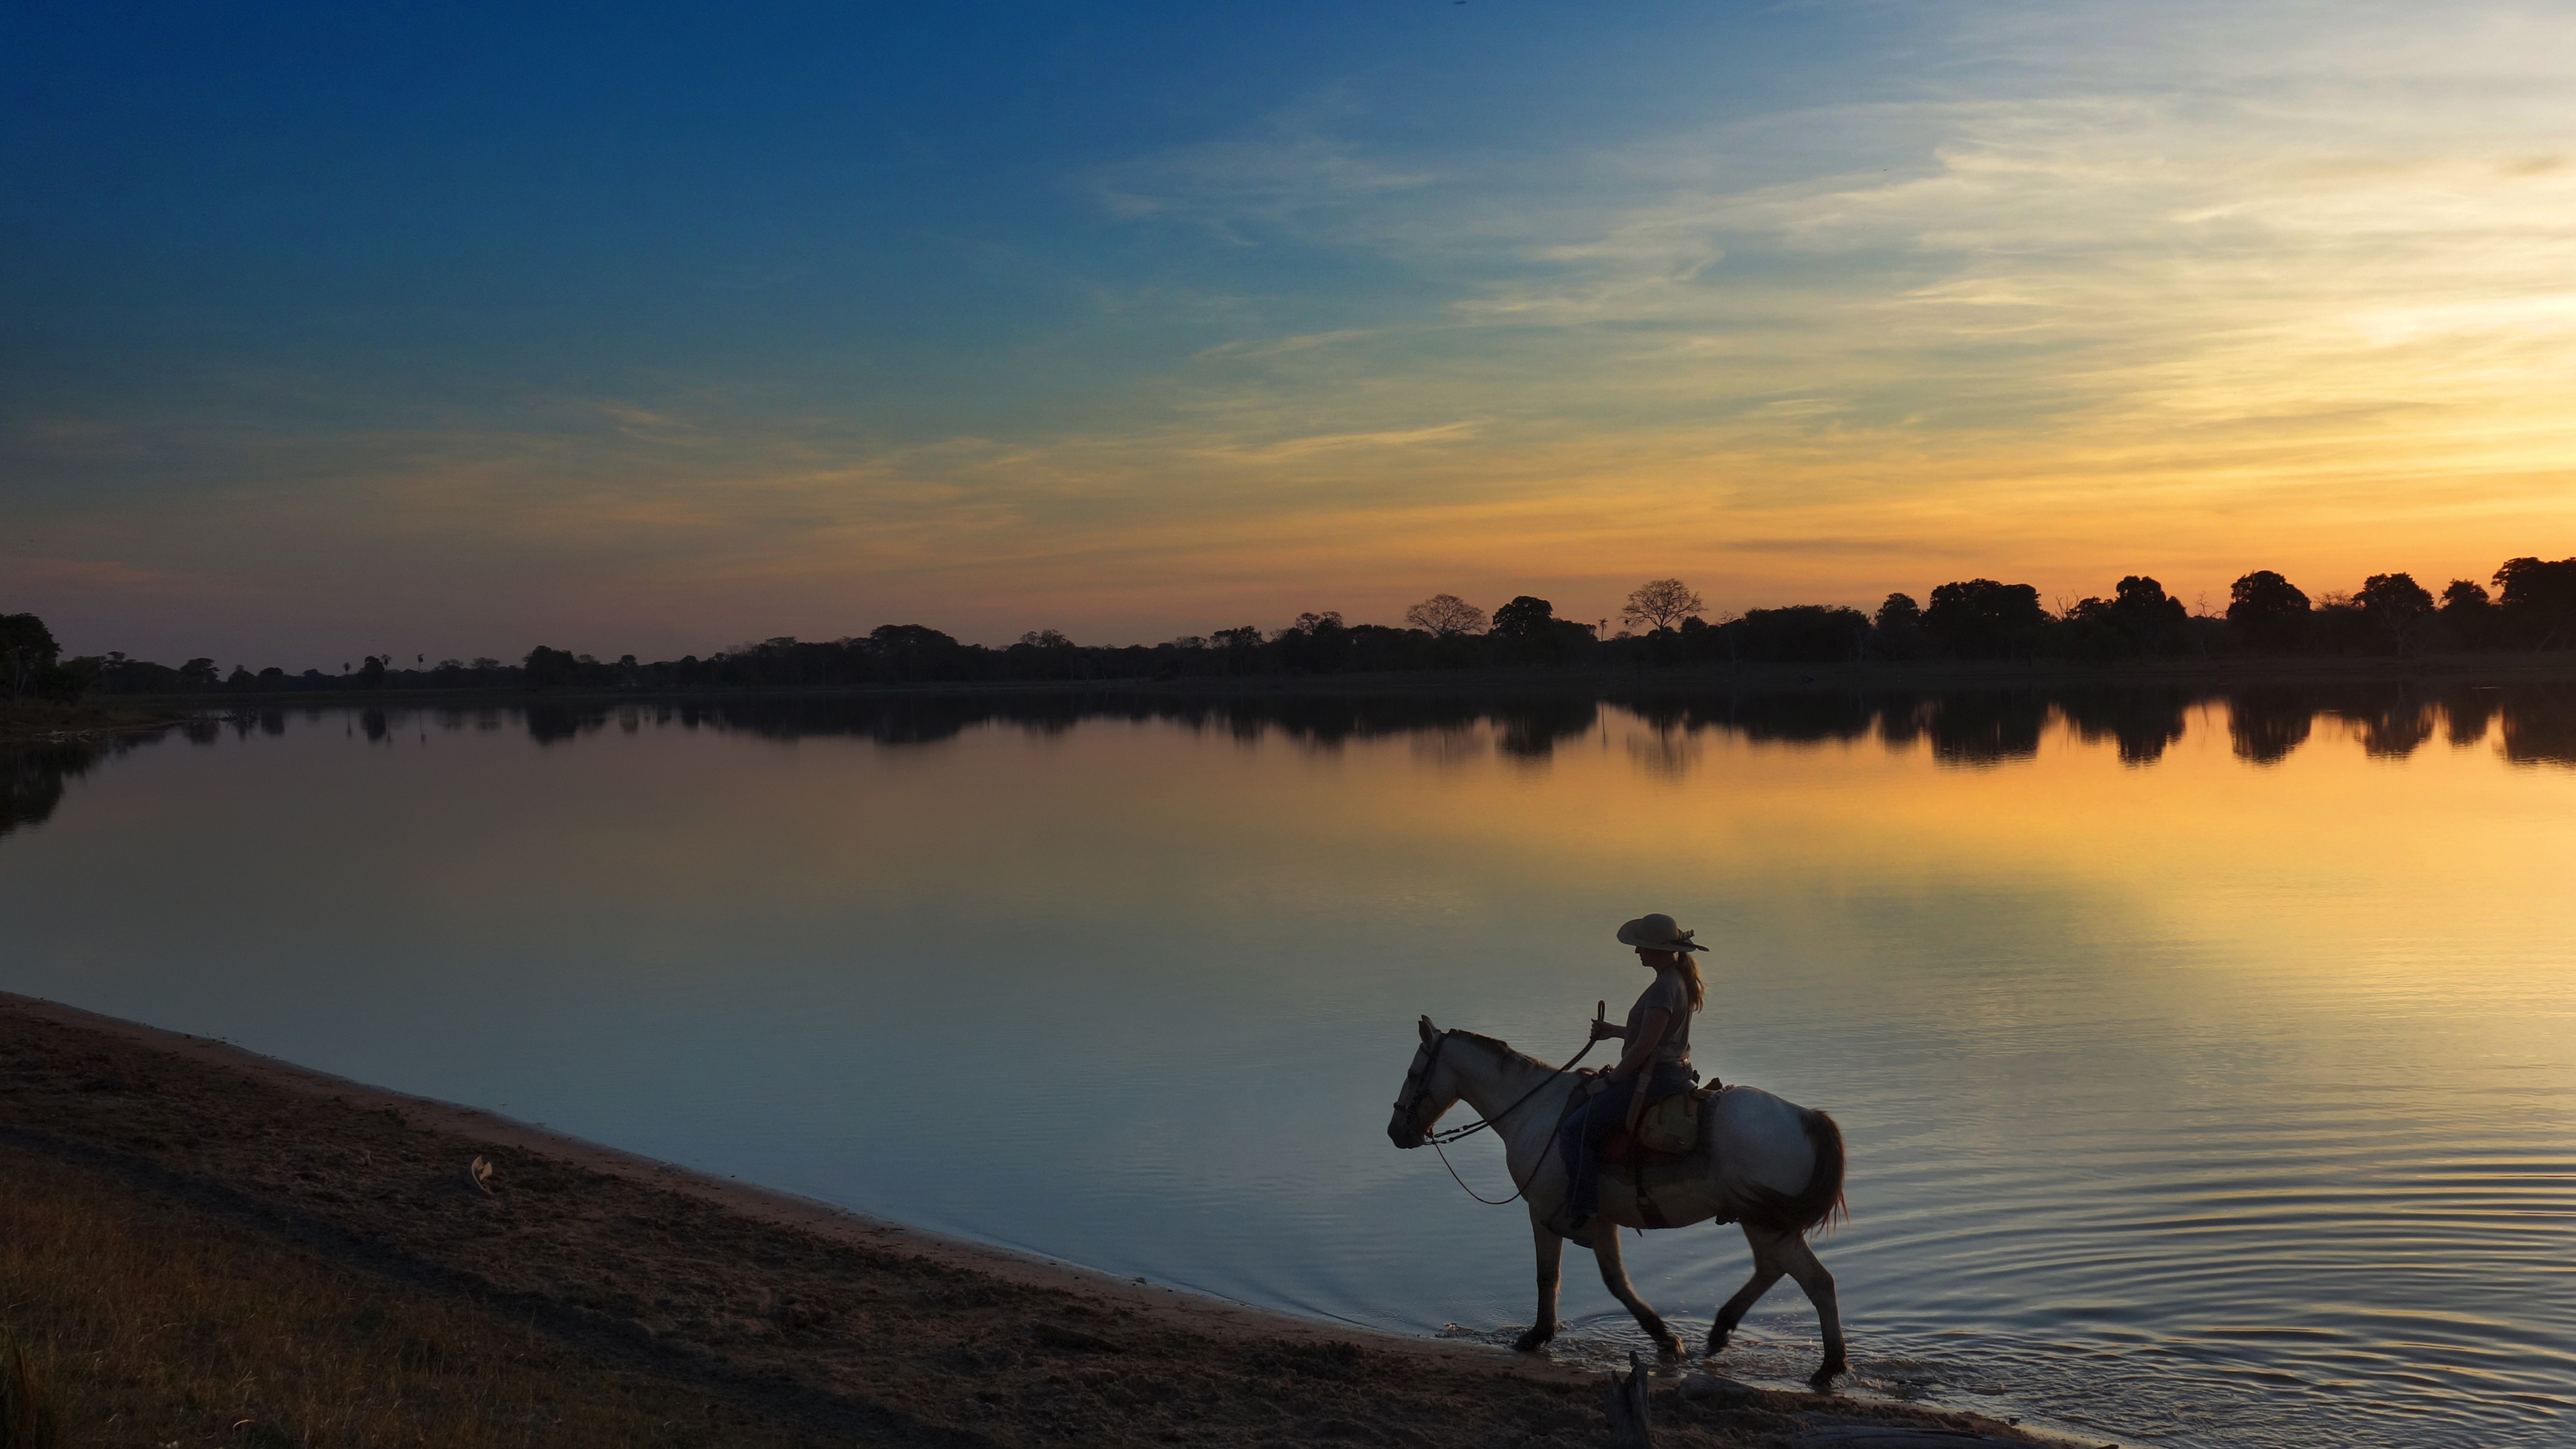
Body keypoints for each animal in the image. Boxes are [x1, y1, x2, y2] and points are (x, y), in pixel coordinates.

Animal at [1391, 1016, 1854, 1371]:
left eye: (1413, 1074)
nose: (1396, 1132)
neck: (1536, 1112)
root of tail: (1807, 1119)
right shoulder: (1599, 1220)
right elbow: (1609, 1279)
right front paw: (1667, 1340)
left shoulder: (1550, 1213)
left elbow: (1560, 1277)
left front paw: (1538, 1336)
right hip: (1762, 1222)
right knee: (1774, 1270)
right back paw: (1723, 1331)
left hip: (1766, 1223)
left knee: (1817, 1282)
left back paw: (1828, 1369)